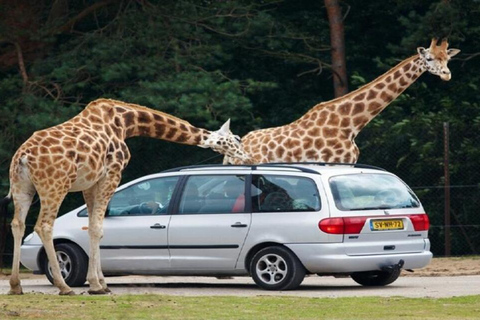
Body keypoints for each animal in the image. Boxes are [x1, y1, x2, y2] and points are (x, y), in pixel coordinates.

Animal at [0, 98, 251, 296]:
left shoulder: (90, 183)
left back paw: (15, 286)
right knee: (43, 225)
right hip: (55, 185)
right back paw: (64, 287)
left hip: (23, 187)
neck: (126, 122)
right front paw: (97, 285)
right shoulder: (112, 174)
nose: (247, 158)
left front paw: (100, 283)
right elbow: (97, 228)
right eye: (238, 138)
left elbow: (92, 228)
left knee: (17, 224)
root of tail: (23, 156)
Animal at [225, 38, 462, 165]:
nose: (447, 75)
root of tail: (240, 143)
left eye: (448, 59)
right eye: (429, 58)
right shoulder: (336, 163)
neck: (350, 124)